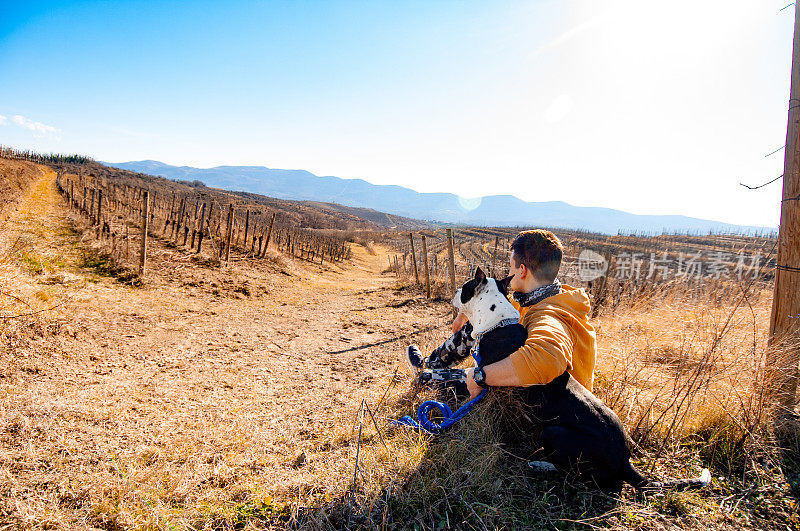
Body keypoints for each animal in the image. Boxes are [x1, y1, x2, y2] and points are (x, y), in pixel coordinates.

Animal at [410, 270, 708, 494]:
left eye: (464, 288)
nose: (452, 295)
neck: (498, 323)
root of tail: (625, 461)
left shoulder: (483, 377)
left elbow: (455, 376)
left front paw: (428, 375)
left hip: (552, 433)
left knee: (578, 475)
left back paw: (540, 465)